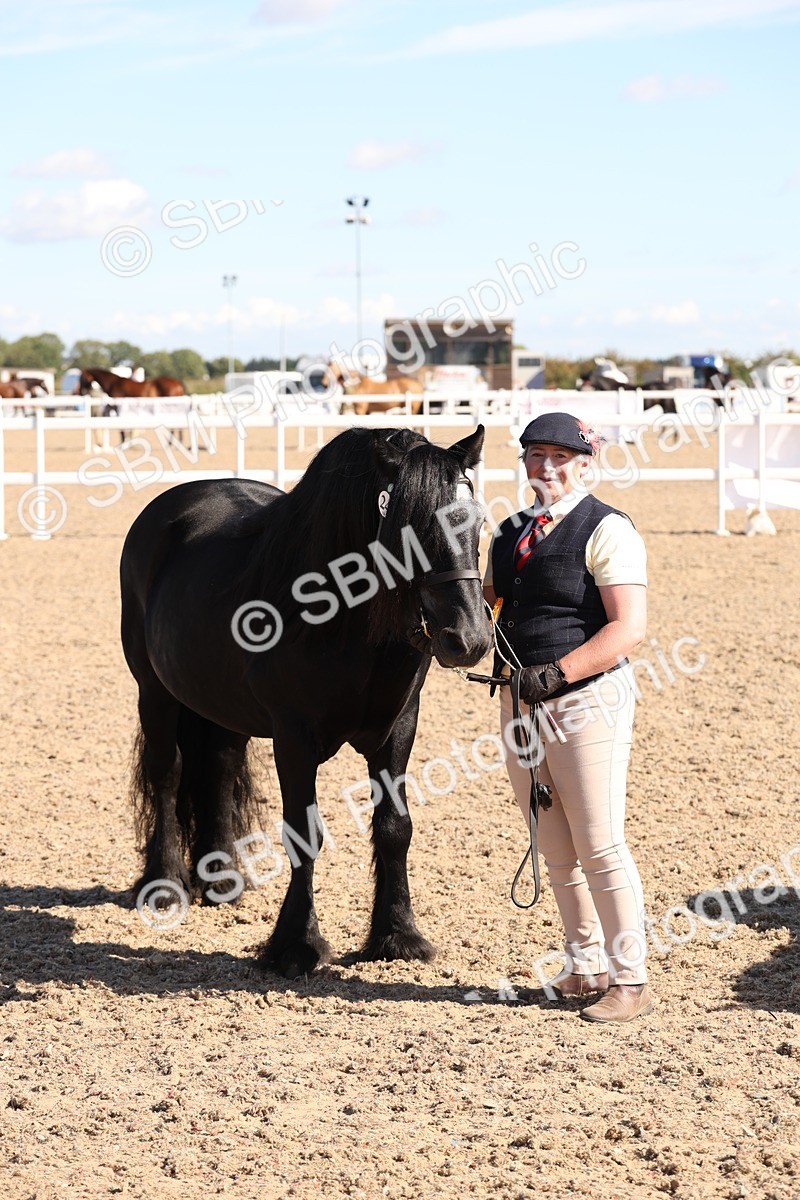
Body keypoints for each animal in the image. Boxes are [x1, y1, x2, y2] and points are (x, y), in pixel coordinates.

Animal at [120, 425, 491, 978]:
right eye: (410, 528)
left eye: (478, 522)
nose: (467, 639)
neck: (344, 621)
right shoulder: (294, 737)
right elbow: (303, 834)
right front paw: (297, 944)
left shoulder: (399, 727)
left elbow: (395, 827)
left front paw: (397, 935)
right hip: (156, 692)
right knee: (167, 773)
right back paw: (164, 885)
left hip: (221, 705)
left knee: (219, 768)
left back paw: (221, 878)